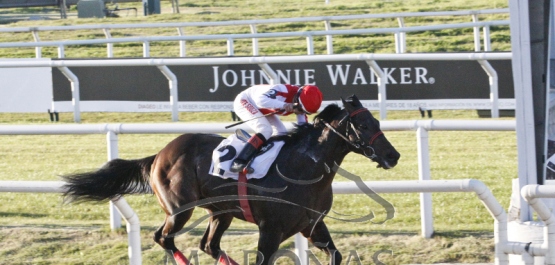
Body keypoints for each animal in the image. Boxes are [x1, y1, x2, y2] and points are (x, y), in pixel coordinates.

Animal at [62, 95, 400, 264]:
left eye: (376, 121)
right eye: (364, 124)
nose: (393, 155)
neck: (303, 169)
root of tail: (159, 155)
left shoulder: (311, 225)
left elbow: (337, 254)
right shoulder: (270, 229)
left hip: (220, 212)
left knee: (209, 245)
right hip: (179, 209)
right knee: (163, 238)